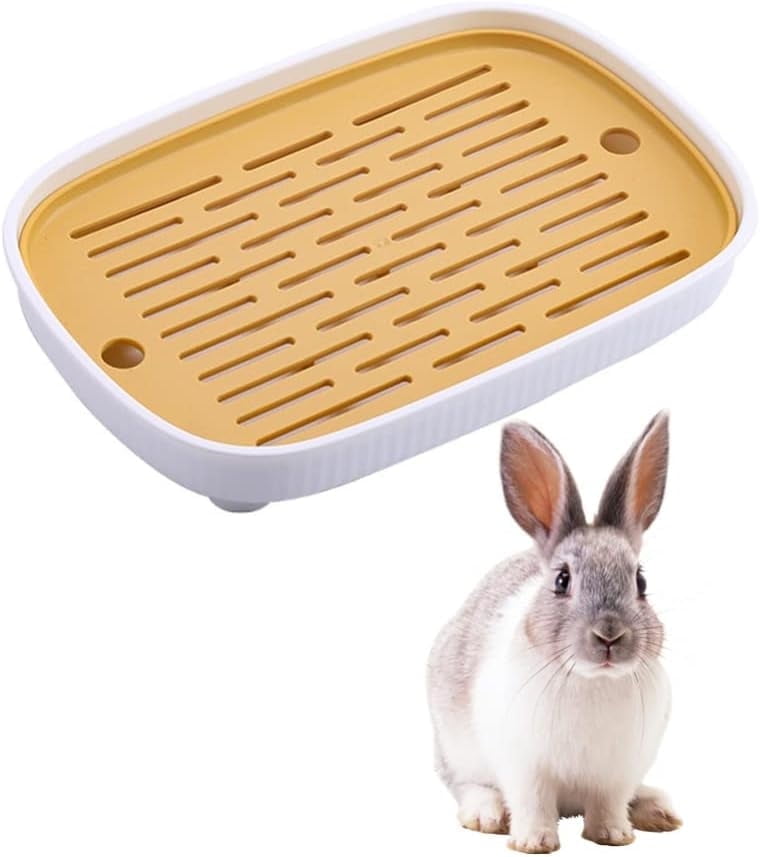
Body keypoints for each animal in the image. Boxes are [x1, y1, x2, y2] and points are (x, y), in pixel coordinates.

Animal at [427, 412, 682, 853]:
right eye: (562, 580)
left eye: (640, 581)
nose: (609, 636)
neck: (592, 680)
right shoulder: (525, 767)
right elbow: (532, 803)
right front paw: (534, 842)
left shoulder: (617, 772)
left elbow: (609, 804)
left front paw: (614, 836)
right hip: (456, 749)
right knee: (466, 785)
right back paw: (486, 814)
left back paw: (657, 810)